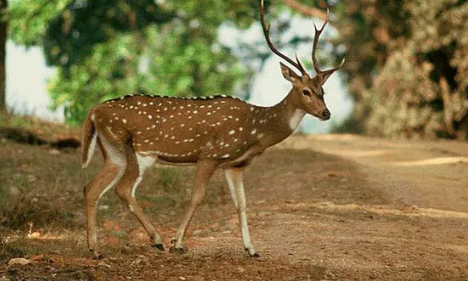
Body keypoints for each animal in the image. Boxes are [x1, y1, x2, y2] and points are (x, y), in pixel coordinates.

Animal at [80, 0, 344, 258]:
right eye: (305, 91)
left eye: (323, 91)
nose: (326, 113)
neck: (255, 130)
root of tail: (94, 111)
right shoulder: (210, 154)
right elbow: (196, 197)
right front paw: (178, 244)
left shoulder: (234, 165)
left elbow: (241, 203)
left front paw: (251, 249)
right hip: (140, 150)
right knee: (123, 189)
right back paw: (157, 240)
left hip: (113, 151)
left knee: (91, 188)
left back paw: (96, 249)